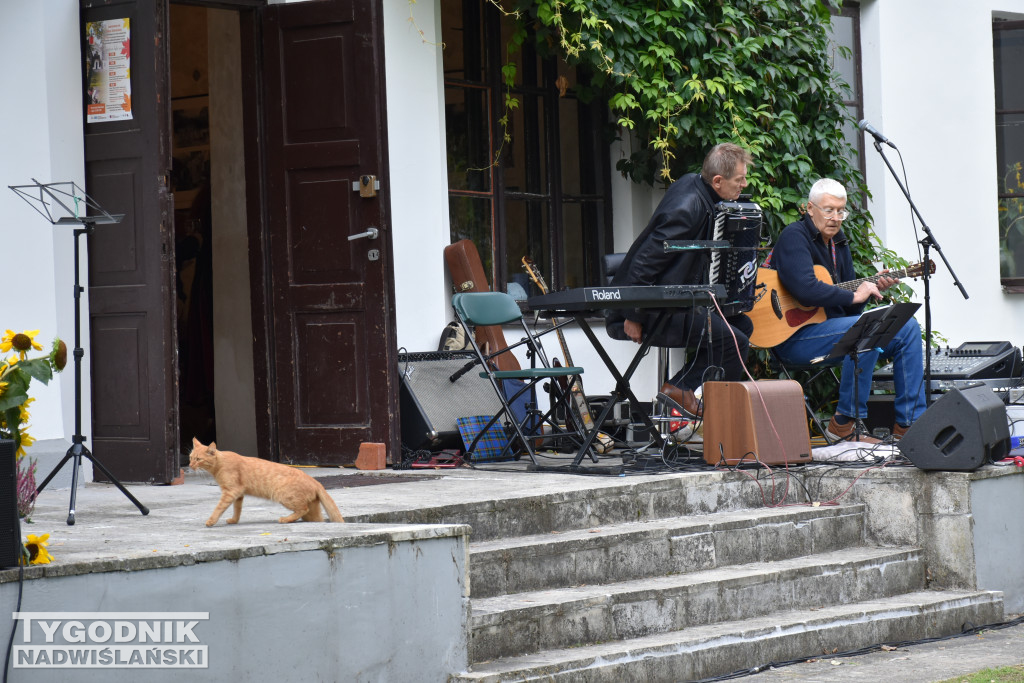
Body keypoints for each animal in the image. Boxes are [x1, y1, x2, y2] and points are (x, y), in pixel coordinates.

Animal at [185, 438, 344, 528]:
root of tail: (316, 482)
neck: (219, 464)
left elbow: (219, 508)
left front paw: (211, 521)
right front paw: (234, 520)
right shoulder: (238, 494)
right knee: (317, 518)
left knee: (302, 509)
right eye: (190, 457)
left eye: (198, 459)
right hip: (312, 511)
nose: (190, 465)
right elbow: (237, 509)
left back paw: (285, 519)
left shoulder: (230, 492)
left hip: (284, 496)